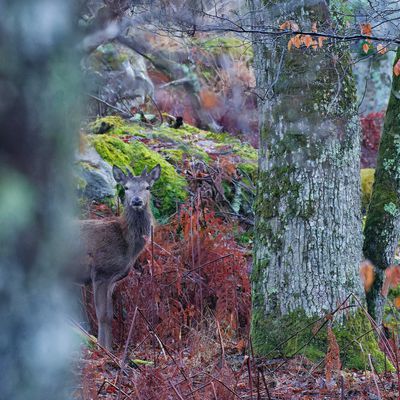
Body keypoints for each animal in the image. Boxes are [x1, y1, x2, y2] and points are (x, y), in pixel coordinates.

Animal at [76, 162, 161, 350]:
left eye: (147, 187)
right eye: (126, 187)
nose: (136, 201)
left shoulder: (113, 280)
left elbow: (109, 315)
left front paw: (109, 349)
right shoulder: (101, 272)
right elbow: (102, 315)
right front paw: (104, 349)